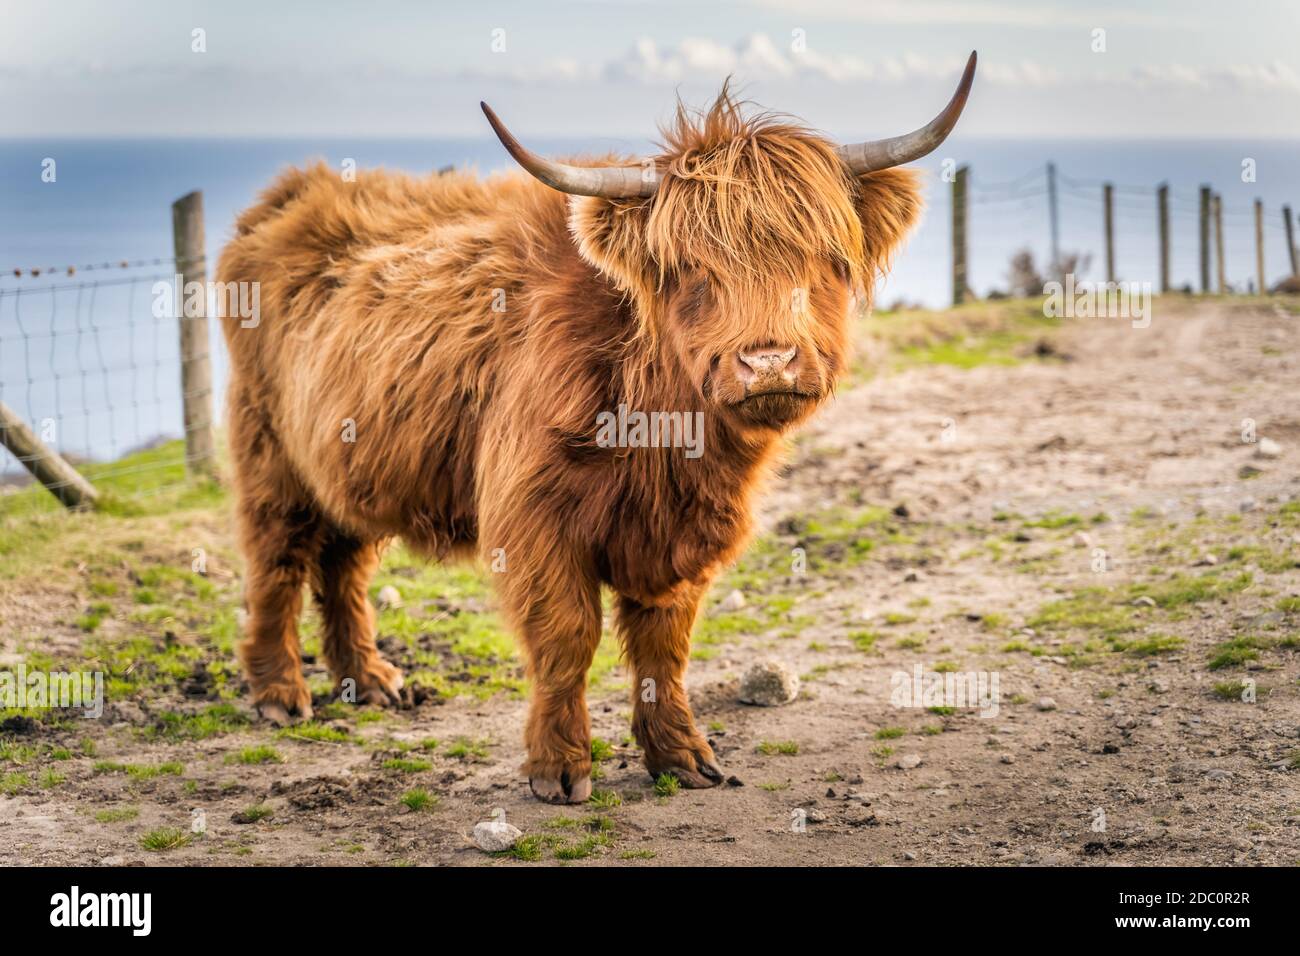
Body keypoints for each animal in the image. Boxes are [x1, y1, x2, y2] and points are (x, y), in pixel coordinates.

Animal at [220, 52, 977, 801]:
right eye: (692, 270)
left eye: (825, 261)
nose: (769, 361)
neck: (661, 432)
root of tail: (294, 193)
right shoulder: (533, 517)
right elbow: (565, 634)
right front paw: (558, 769)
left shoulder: (683, 535)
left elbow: (665, 644)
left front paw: (681, 755)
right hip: (268, 453)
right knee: (278, 559)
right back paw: (279, 692)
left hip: (351, 456)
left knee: (344, 560)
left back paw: (369, 681)